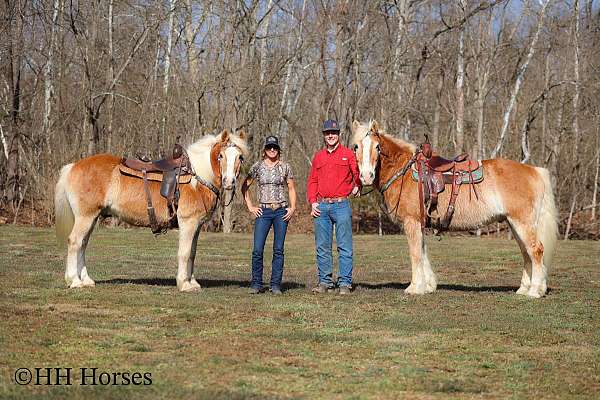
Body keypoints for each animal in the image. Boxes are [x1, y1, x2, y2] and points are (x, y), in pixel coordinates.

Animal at [54, 130, 246, 292]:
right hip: (85, 217)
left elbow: (192, 253)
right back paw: (75, 281)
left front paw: (192, 283)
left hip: (91, 217)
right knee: (75, 242)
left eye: (240, 157)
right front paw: (184, 284)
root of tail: (73, 166)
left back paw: (86, 280)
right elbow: (184, 253)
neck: (196, 178)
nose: (230, 182)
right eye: (221, 155)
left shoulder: (196, 226)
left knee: (83, 244)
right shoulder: (188, 223)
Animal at [352, 120, 556, 298]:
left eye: (377, 147)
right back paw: (524, 289)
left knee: (536, 250)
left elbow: (416, 254)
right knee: (526, 253)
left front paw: (415, 288)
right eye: (355, 147)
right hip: (515, 224)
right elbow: (423, 252)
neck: (404, 172)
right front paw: (428, 286)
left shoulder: (412, 222)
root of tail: (534, 170)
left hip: (522, 223)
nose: (366, 176)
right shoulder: (420, 224)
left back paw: (534, 291)